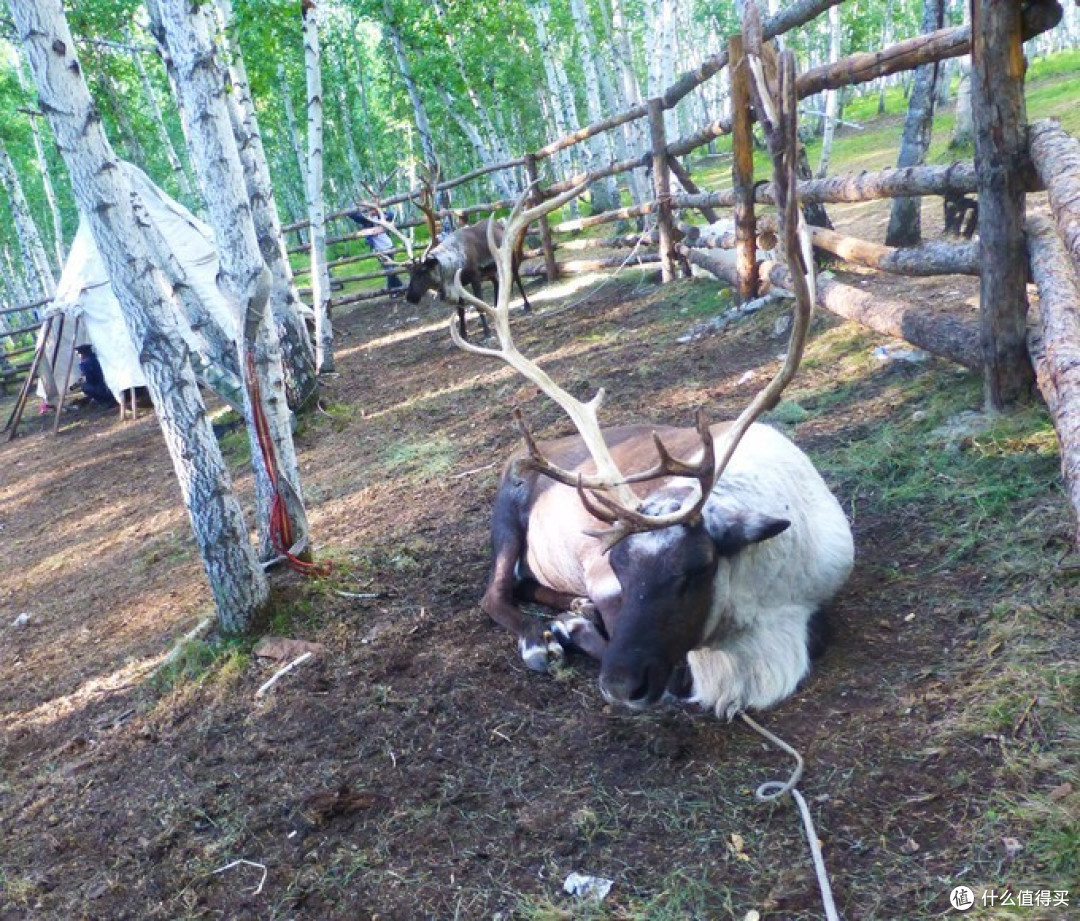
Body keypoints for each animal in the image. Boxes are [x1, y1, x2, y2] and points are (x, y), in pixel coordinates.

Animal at [447, 51, 854, 719]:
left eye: (692, 572)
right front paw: (572, 628)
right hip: (507, 511)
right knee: (496, 592)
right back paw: (540, 636)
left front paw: (577, 621)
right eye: (618, 565)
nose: (620, 684)